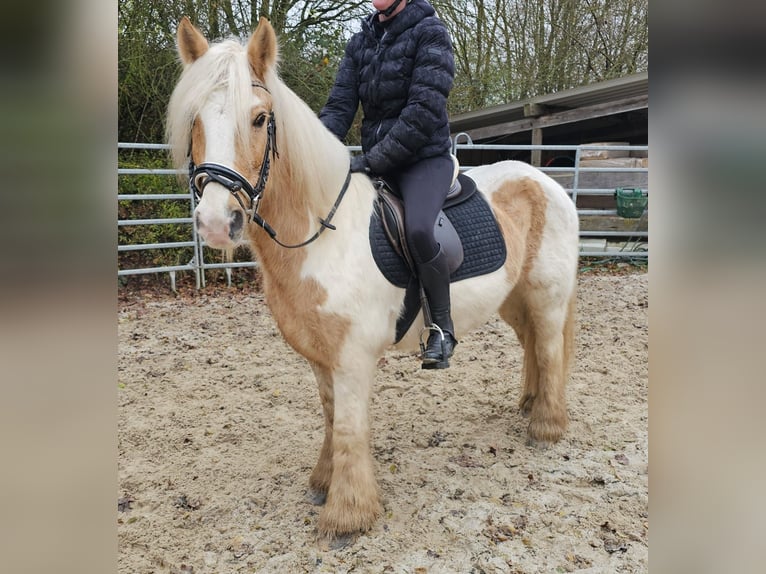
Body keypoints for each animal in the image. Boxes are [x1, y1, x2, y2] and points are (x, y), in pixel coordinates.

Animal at [165, 15, 580, 544]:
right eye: (194, 120)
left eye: (259, 119)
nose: (219, 222)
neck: (323, 234)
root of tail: (546, 182)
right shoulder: (320, 355)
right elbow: (330, 417)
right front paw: (324, 484)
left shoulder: (352, 355)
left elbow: (348, 426)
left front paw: (347, 515)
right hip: (514, 298)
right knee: (531, 346)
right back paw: (528, 405)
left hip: (547, 296)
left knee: (547, 349)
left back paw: (546, 427)